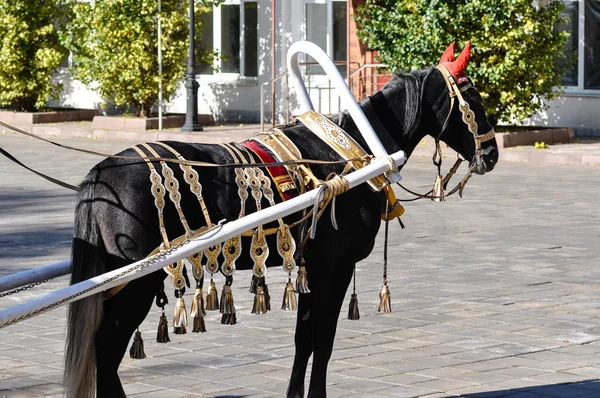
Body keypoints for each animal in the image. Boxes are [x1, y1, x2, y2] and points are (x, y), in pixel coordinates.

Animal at [65, 43, 500, 398]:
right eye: (473, 96)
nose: (493, 153)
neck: (352, 151)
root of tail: (100, 173)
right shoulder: (335, 267)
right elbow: (323, 339)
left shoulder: (310, 267)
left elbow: (303, 338)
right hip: (136, 280)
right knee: (105, 350)